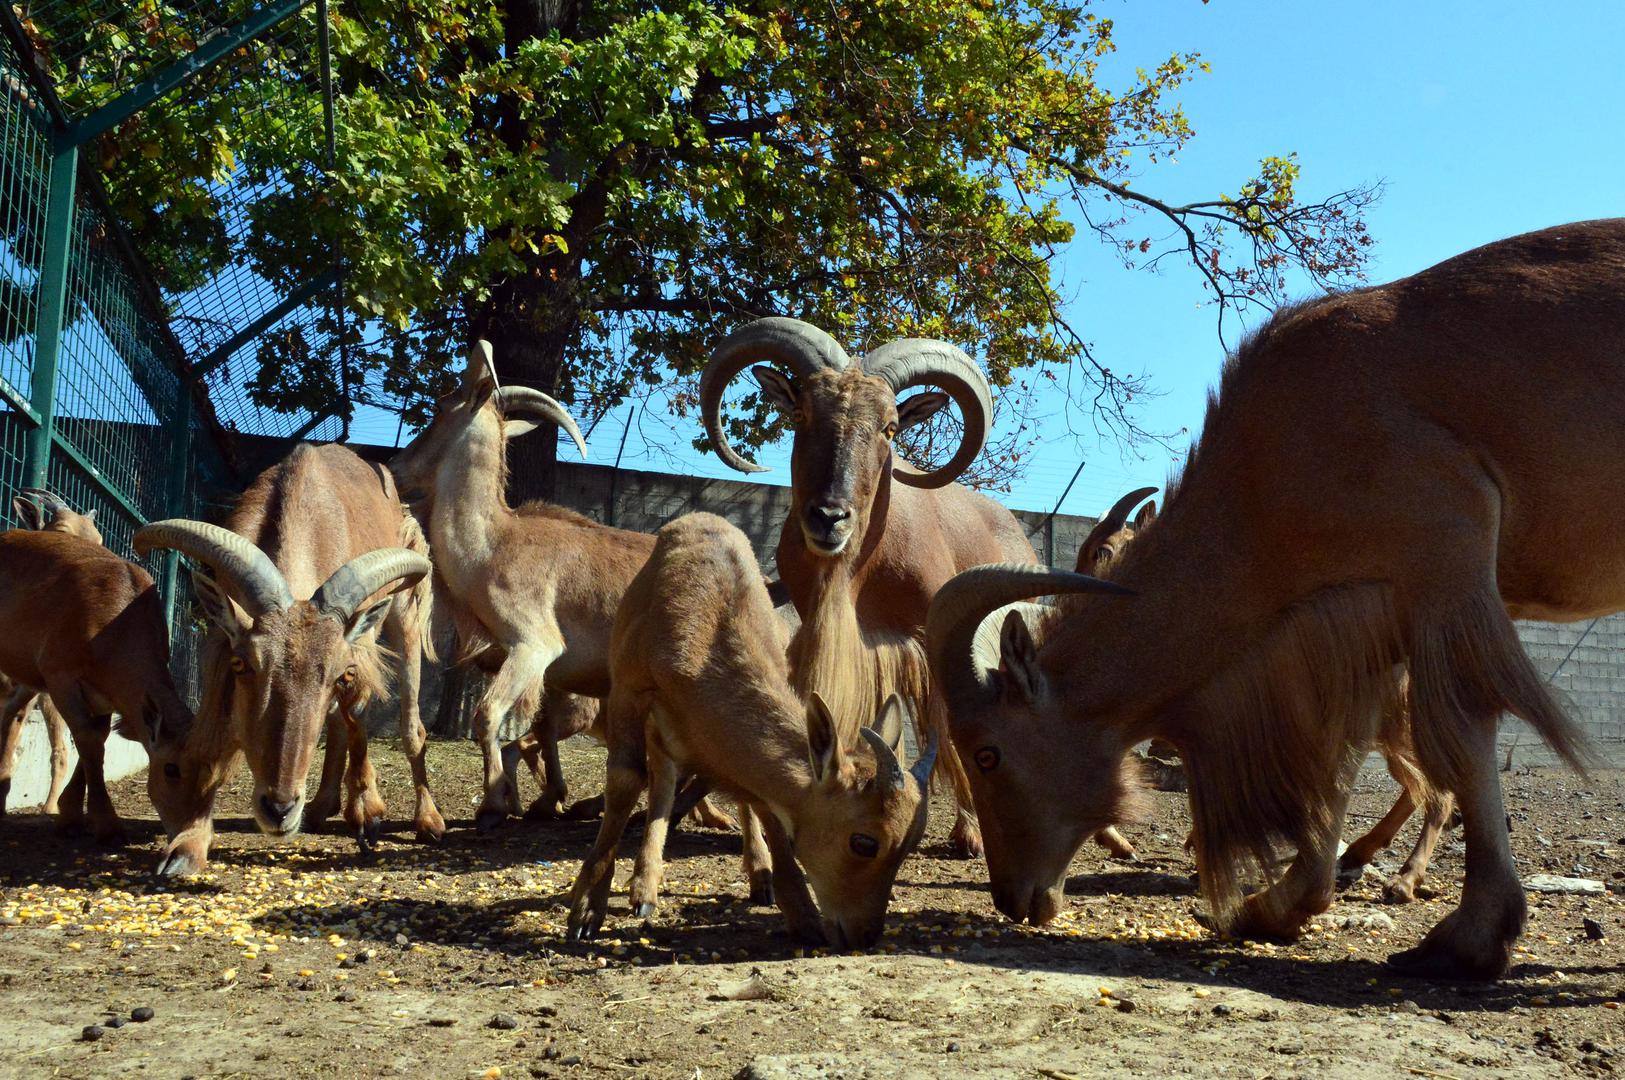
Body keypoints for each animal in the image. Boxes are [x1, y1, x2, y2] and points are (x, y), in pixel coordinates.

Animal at [565, 513, 936, 941]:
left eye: (908, 844)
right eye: (864, 842)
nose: (864, 934)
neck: (702, 637)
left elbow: (764, 800)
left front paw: (803, 915)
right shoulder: (629, 688)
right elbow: (627, 779)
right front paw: (586, 909)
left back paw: (757, 876)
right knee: (662, 779)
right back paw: (645, 888)